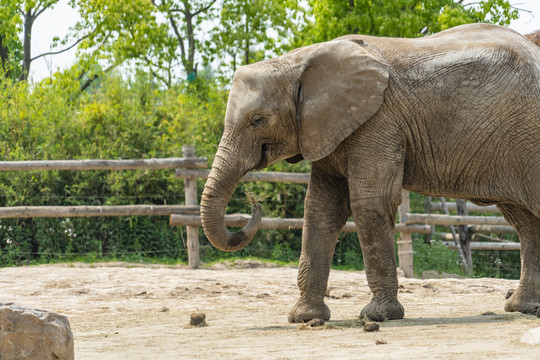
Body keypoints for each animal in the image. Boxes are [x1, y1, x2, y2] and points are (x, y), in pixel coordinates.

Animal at [200, 22, 540, 322]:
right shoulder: (328, 127)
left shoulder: (378, 121)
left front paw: (378, 316)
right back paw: (521, 308)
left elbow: (370, 202)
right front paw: (305, 318)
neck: (297, 62)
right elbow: (321, 208)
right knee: (525, 221)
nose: (252, 198)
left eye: (257, 120)